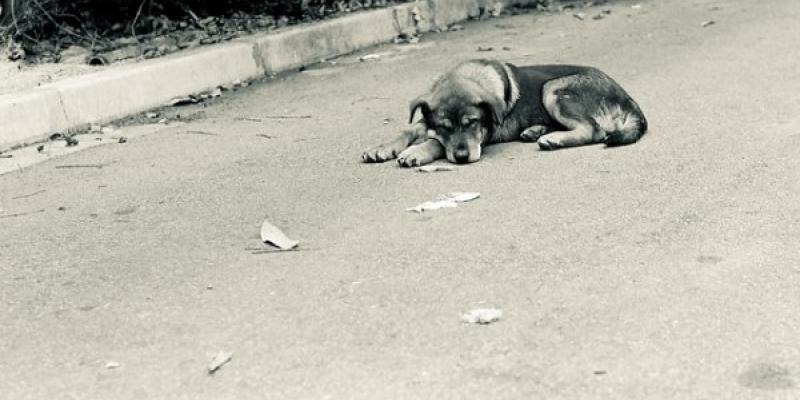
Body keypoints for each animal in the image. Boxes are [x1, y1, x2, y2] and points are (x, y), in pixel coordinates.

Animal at [360, 58, 648, 166]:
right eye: (444, 126)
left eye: (472, 123)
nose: (462, 158)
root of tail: (628, 97)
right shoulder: (426, 119)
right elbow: (410, 129)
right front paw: (382, 147)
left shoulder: (484, 135)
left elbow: (435, 143)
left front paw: (416, 152)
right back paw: (536, 131)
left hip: (552, 88)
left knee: (593, 129)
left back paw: (552, 139)